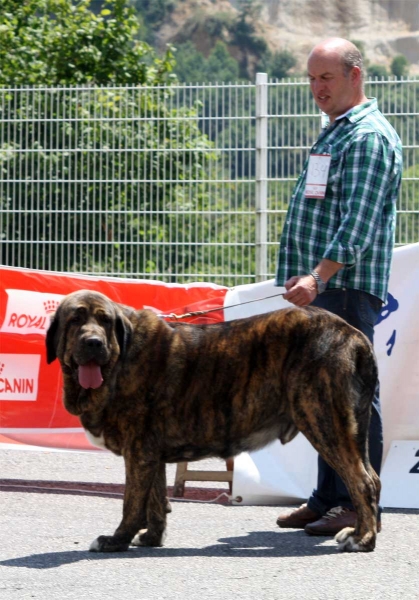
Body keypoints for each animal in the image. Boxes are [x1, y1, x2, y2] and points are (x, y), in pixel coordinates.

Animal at [46, 290, 380, 552]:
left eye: (104, 321)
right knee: (372, 479)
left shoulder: (138, 452)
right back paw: (363, 531)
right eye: (75, 320)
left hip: (324, 421)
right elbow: (155, 500)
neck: (120, 359)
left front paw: (116, 540)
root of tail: (353, 335)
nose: (93, 343)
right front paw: (152, 537)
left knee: (361, 482)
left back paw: (362, 539)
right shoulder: (150, 453)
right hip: (351, 427)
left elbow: (132, 502)